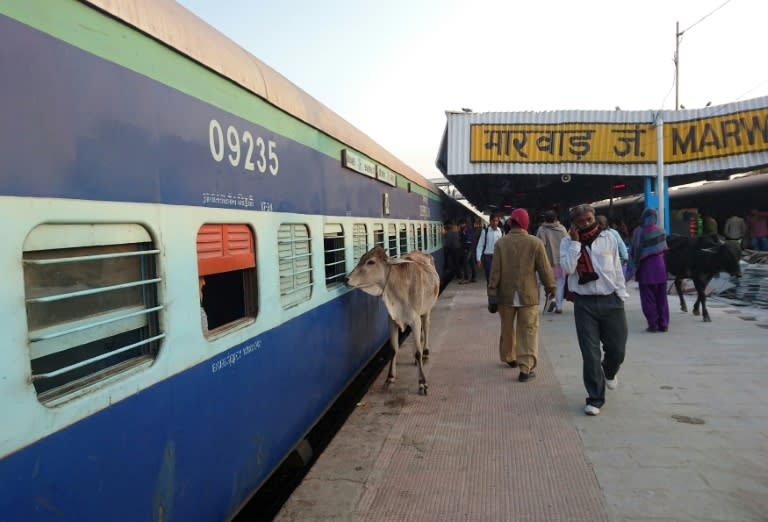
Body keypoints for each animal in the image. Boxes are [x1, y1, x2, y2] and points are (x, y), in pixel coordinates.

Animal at [344, 246, 438, 392]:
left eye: (371, 262)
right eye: (361, 258)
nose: (346, 279)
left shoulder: (415, 320)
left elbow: (418, 352)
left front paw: (422, 382)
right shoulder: (392, 321)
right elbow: (394, 349)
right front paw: (390, 378)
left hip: (426, 310)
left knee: (426, 328)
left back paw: (426, 353)